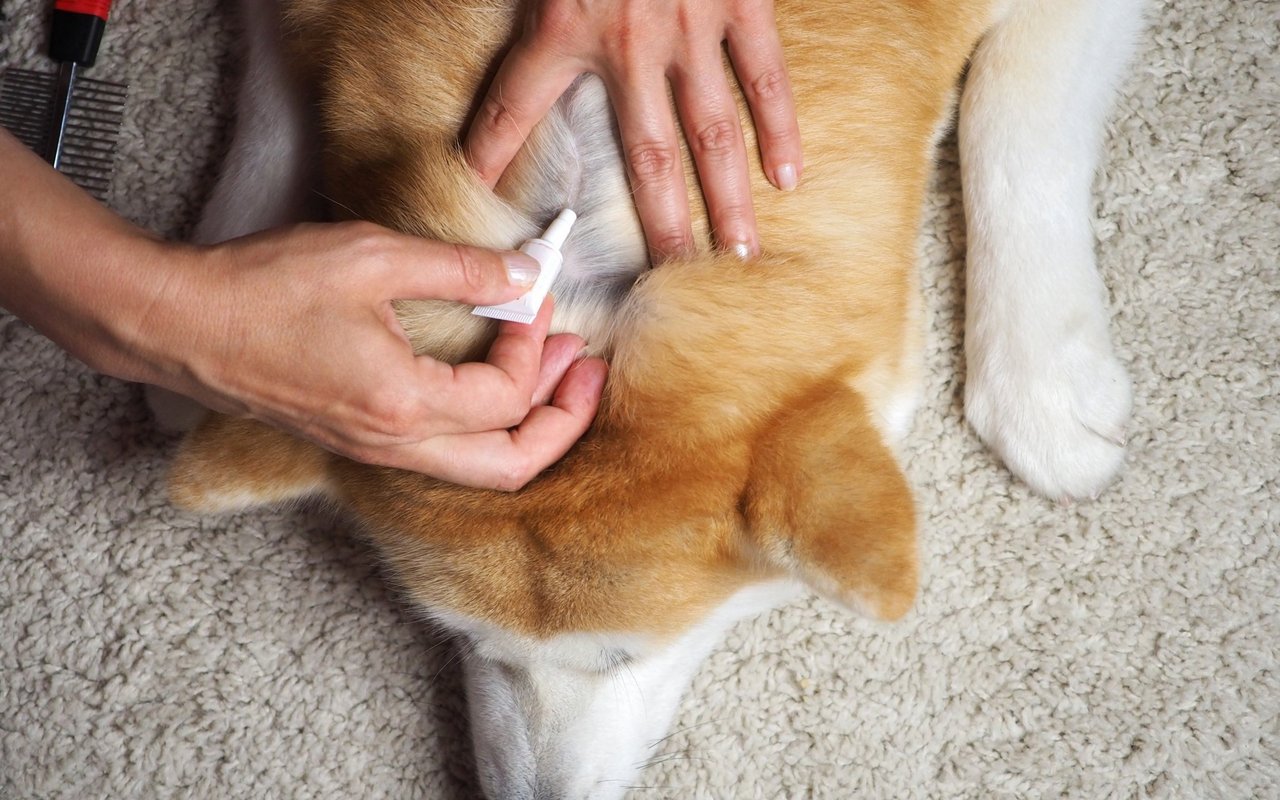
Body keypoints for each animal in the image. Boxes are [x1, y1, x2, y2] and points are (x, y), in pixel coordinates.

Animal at [160, 0, 1141, 793]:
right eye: (463, 640)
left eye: (623, 658)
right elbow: (271, 106)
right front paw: (241, 300)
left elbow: (1014, 121)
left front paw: (1046, 383)